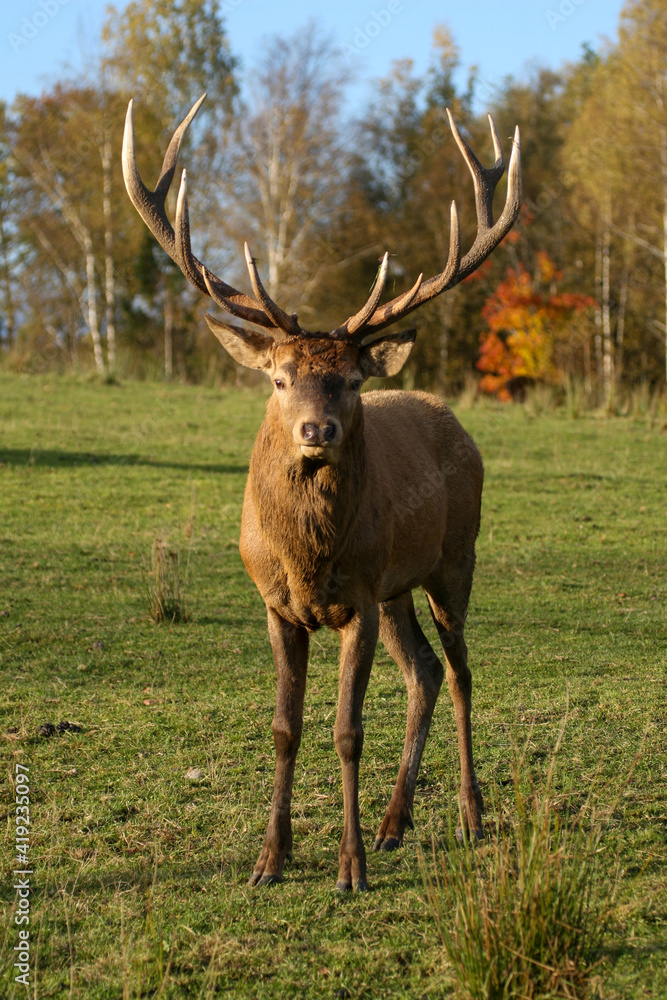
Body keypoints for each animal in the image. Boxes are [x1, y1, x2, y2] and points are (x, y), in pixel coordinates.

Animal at [122, 94, 521, 891]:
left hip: (452, 561)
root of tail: (452, 417)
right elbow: (286, 727)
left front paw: (349, 867)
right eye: (279, 378)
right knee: (425, 671)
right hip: (398, 587)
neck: (306, 558)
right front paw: (269, 860)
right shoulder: (278, 603)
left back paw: (469, 815)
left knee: (462, 669)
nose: (317, 428)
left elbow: (346, 731)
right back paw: (397, 823)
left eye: (350, 378)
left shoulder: (357, 599)